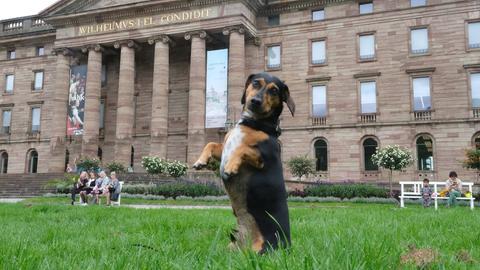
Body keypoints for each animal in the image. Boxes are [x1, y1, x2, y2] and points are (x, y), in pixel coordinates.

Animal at [193, 71, 294, 253]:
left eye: (274, 90)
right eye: (255, 83)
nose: (256, 101)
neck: (254, 125)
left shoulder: (262, 158)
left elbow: (242, 149)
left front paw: (230, 167)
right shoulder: (224, 147)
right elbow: (210, 143)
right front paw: (200, 161)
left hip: (264, 248)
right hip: (231, 245)